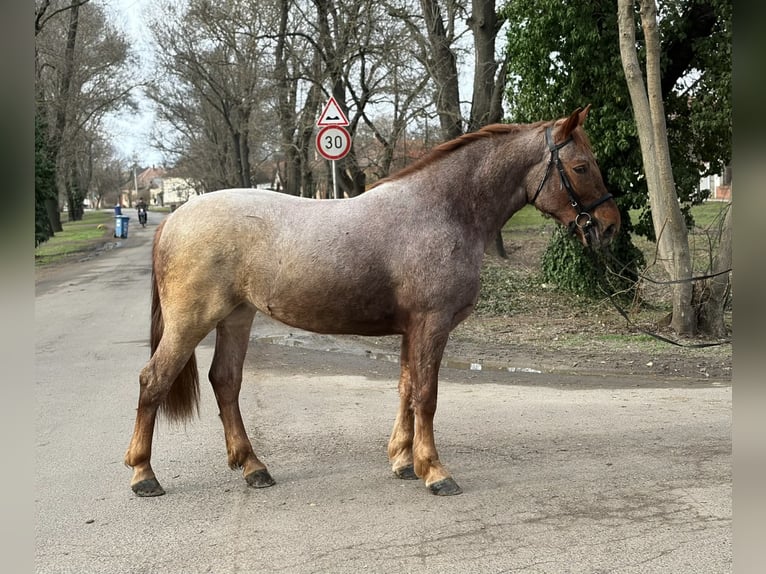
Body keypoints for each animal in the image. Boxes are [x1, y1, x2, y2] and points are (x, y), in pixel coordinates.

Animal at [124, 106, 620, 497]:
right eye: (580, 167)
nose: (610, 225)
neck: (441, 210)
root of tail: (175, 219)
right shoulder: (432, 324)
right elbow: (426, 395)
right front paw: (434, 470)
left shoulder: (411, 328)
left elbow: (406, 389)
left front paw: (403, 460)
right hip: (192, 321)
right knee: (154, 380)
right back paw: (144, 474)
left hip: (236, 318)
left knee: (225, 382)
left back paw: (253, 467)